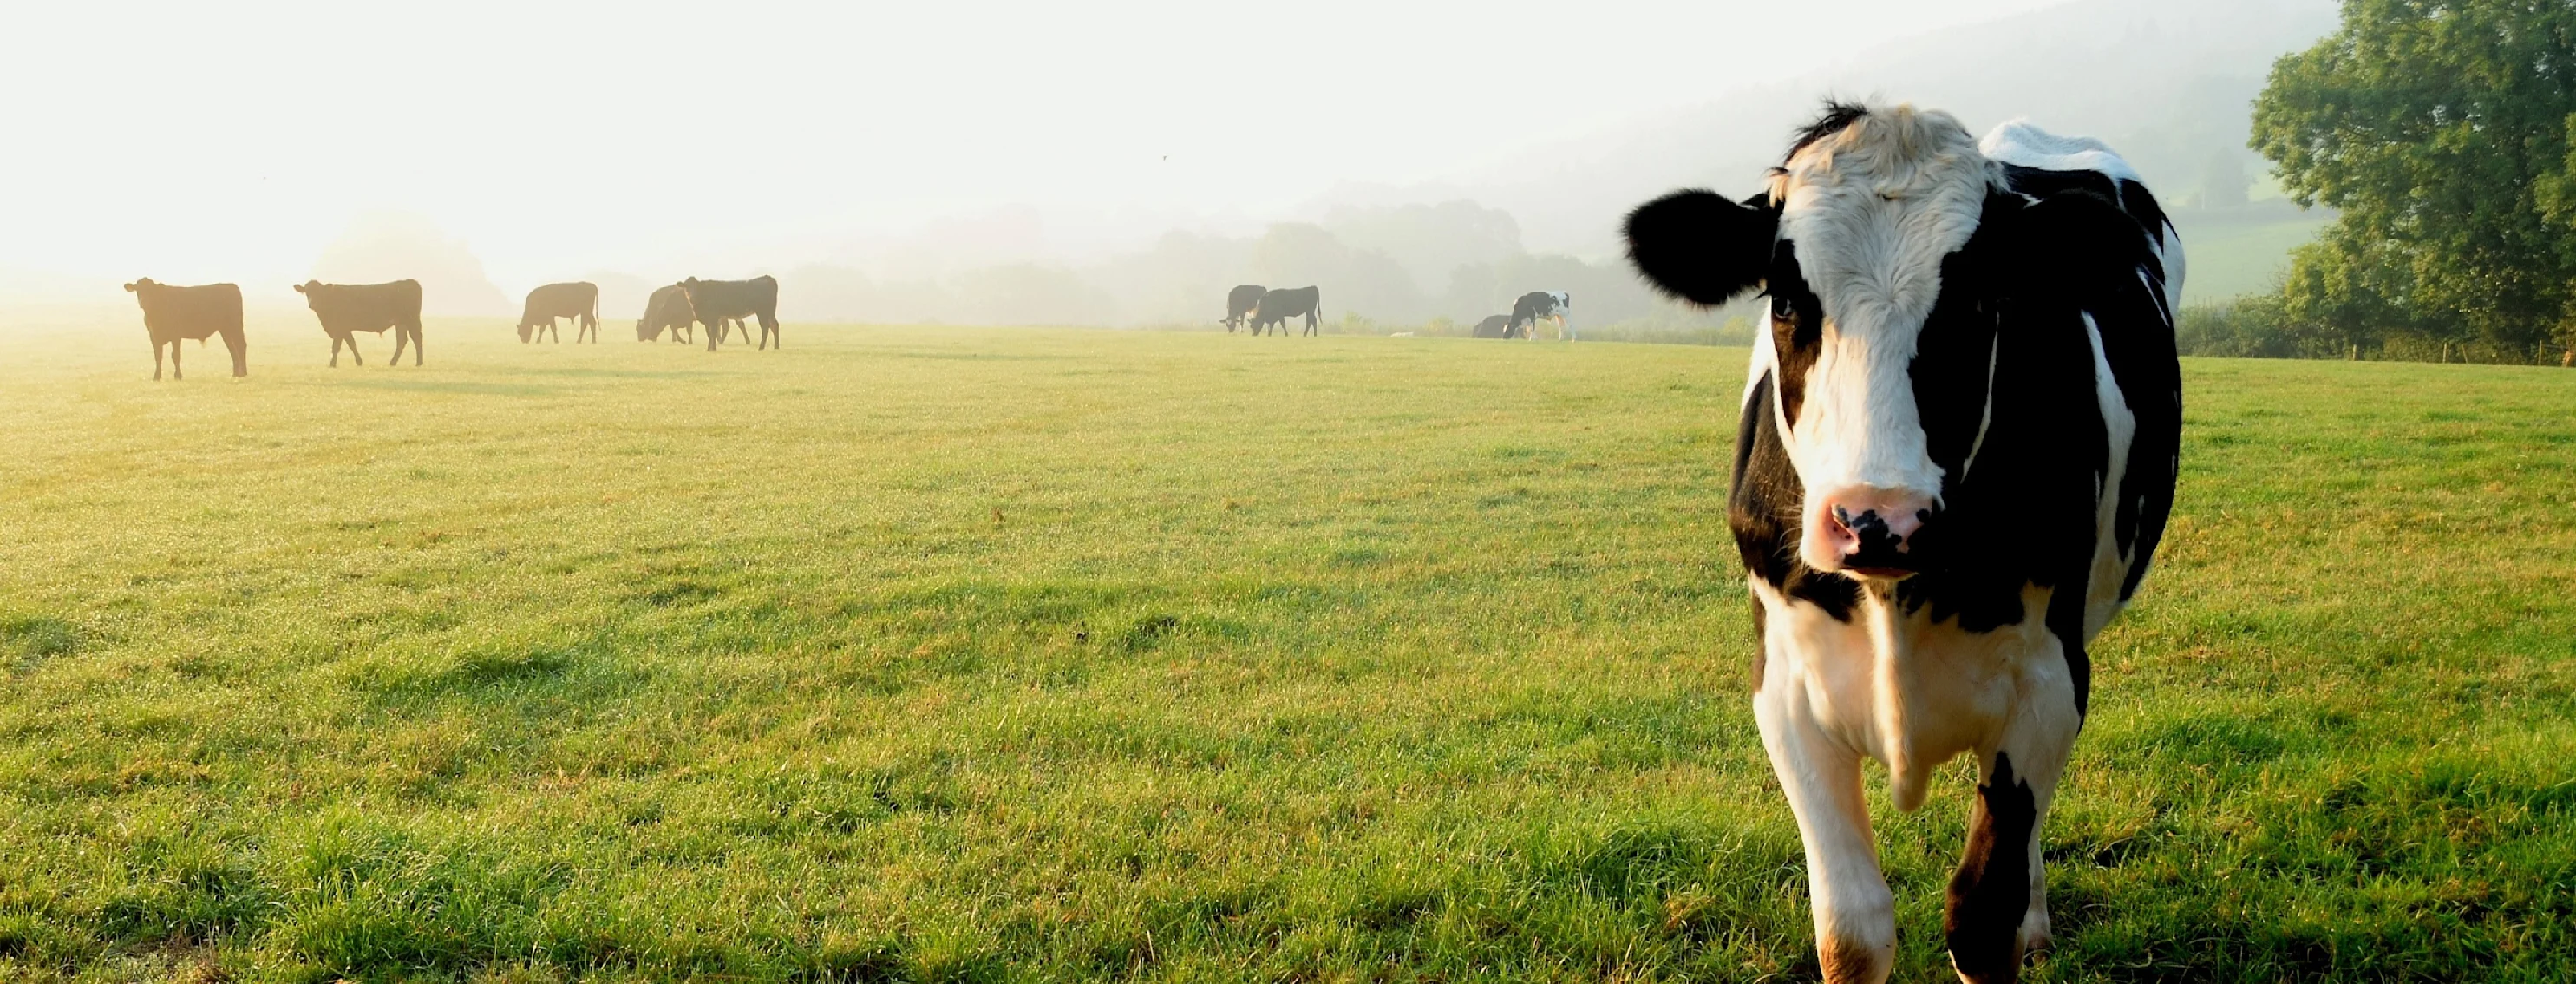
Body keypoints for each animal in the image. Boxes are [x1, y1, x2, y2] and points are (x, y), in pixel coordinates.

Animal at [121, 280, 247, 384]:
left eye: (151, 291)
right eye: (138, 290)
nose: (143, 302)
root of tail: (231, 285)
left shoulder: (176, 335)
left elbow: (175, 356)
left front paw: (178, 376)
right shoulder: (153, 336)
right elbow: (158, 356)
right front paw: (157, 377)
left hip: (235, 325)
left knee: (241, 345)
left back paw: (243, 373)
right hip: (225, 330)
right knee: (232, 349)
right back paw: (235, 374)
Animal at [295, 278, 425, 368]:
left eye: (320, 293)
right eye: (307, 292)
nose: (312, 304)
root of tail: (409, 281)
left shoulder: (340, 328)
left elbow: (336, 347)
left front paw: (332, 364)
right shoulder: (346, 330)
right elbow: (352, 345)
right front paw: (359, 361)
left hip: (411, 320)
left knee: (417, 338)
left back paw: (419, 362)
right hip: (401, 323)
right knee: (402, 341)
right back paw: (393, 362)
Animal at [1618, 103, 2184, 979]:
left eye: (1984, 299)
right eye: (1786, 299)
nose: (1877, 518)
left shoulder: (2051, 679)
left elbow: (1982, 913)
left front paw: (2012, 919)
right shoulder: (1785, 684)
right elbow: (1852, 930)